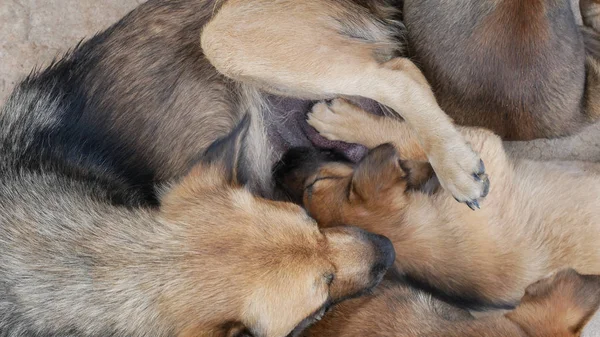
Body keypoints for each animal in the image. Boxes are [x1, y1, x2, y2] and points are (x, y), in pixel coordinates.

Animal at [274, 96, 600, 308]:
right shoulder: (480, 150)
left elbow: (426, 139)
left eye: (314, 185)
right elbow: (424, 142)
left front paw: (340, 121)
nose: (279, 165)